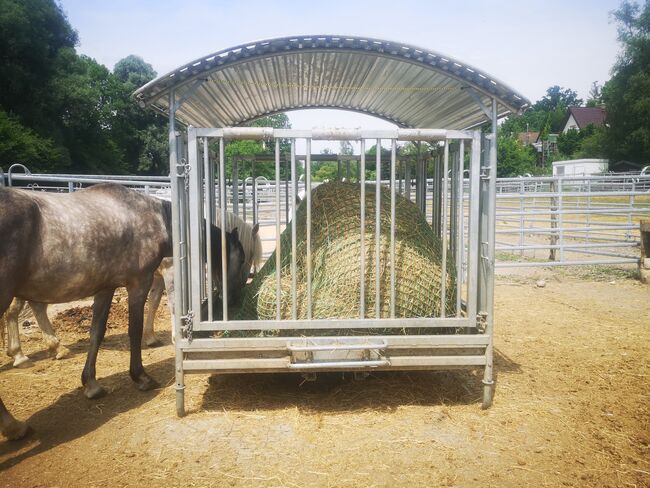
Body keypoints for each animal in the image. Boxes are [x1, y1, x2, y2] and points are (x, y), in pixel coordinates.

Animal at [0, 184, 246, 442]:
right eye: (242, 259)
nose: (235, 297)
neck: (157, 219)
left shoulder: (106, 288)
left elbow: (96, 333)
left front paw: (91, 384)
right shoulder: (139, 282)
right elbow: (135, 329)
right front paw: (141, 376)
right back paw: (14, 423)